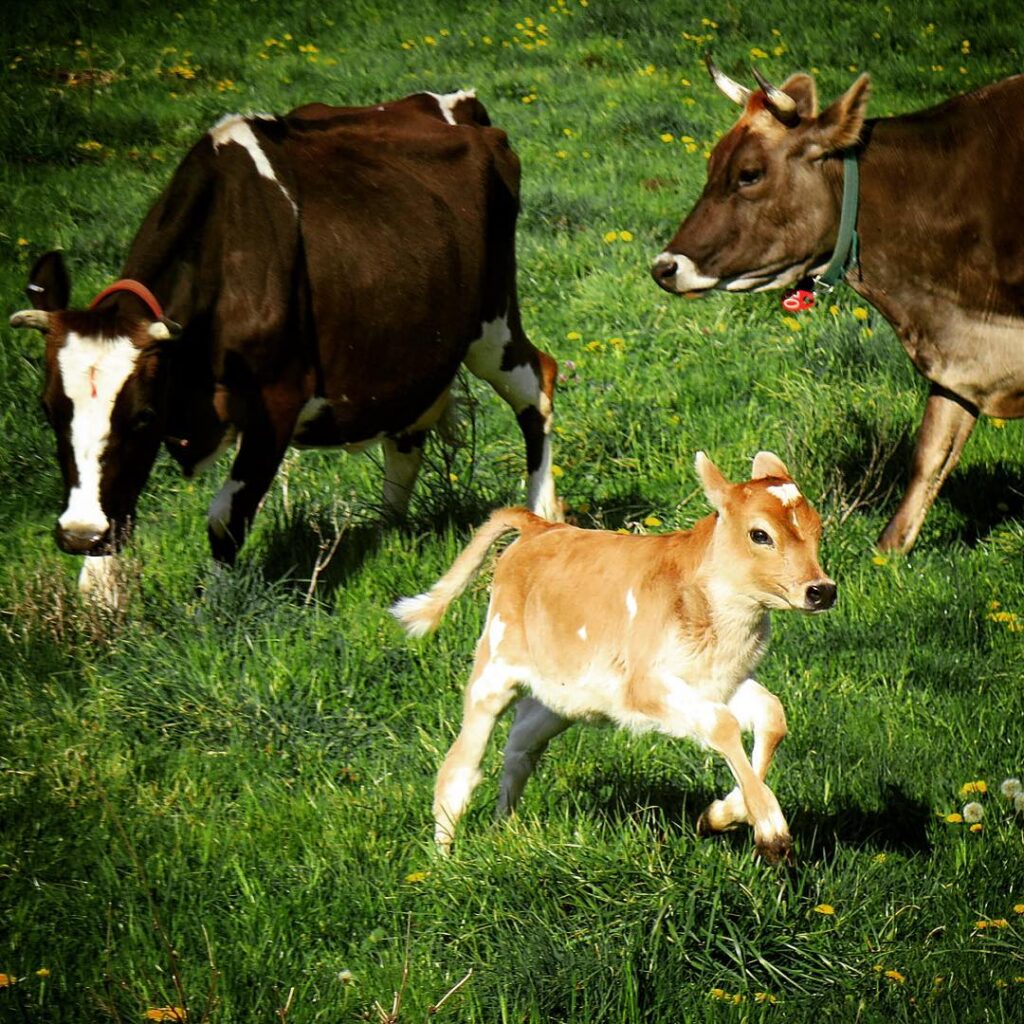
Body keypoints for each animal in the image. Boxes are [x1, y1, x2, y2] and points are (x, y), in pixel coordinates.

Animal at [9, 90, 560, 605]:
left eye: (143, 415)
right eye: (48, 409)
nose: (79, 534)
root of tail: (453, 104)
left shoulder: (276, 400)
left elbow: (226, 516)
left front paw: (217, 611)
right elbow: (120, 506)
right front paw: (98, 598)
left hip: (492, 323)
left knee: (536, 385)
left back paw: (542, 513)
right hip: (416, 350)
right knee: (407, 437)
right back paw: (387, 529)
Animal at [392, 451, 836, 864]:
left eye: (818, 528)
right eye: (760, 534)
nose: (822, 590)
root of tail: (541, 528)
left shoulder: (719, 682)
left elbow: (771, 715)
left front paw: (721, 815)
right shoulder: (641, 688)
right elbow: (723, 726)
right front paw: (772, 832)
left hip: (561, 697)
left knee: (520, 747)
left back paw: (506, 828)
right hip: (494, 670)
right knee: (461, 765)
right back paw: (445, 858)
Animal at [652, 63, 1024, 553]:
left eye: (749, 174)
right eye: (711, 164)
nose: (664, 267)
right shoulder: (955, 354)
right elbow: (930, 453)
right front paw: (887, 552)